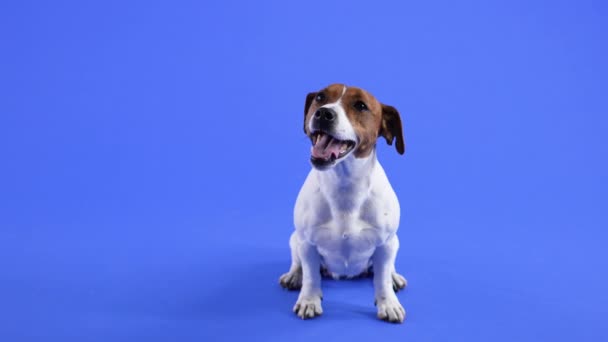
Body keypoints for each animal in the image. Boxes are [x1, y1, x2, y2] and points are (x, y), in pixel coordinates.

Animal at [280, 83, 408, 324]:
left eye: (361, 106)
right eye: (320, 98)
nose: (324, 113)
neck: (344, 184)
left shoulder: (385, 243)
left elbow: (382, 280)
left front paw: (388, 303)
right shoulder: (307, 243)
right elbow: (311, 277)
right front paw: (309, 300)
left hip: (394, 243)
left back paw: (394, 276)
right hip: (295, 239)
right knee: (298, 262)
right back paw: (294, 275)